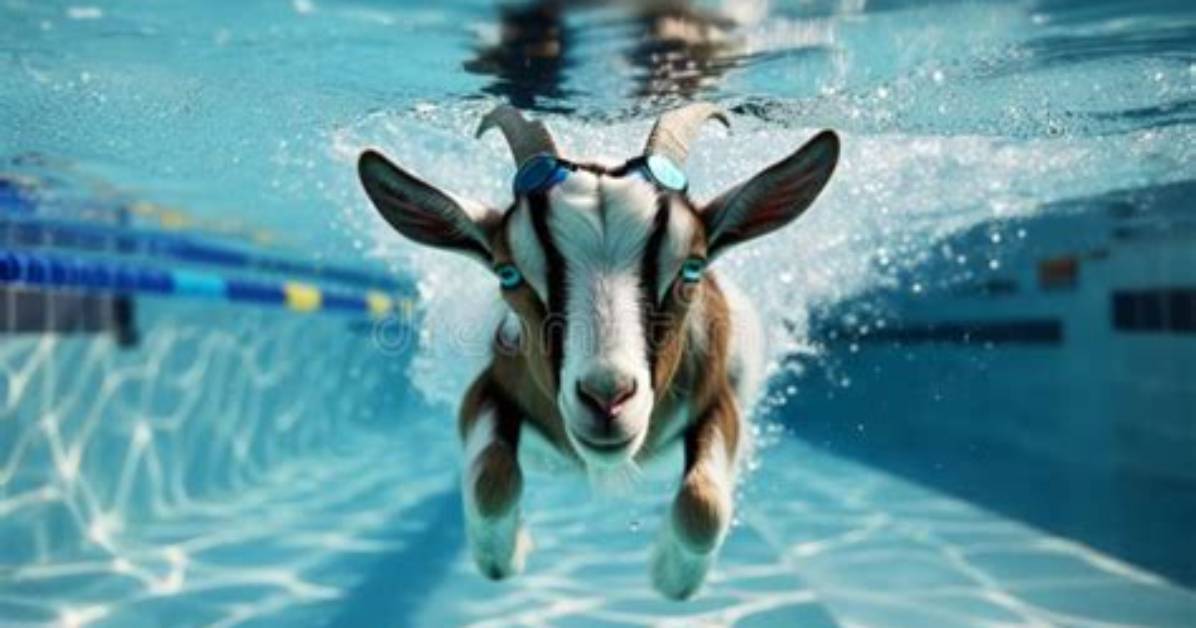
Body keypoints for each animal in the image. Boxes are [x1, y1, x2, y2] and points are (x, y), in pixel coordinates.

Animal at [357, 103, 838, 599]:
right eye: (509, 274)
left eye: (692, 267)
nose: (607, 397)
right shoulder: (488, 389)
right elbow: (491, 481)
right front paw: (503, 557)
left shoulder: (720, 400)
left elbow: (702, 506)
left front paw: (671, 579)